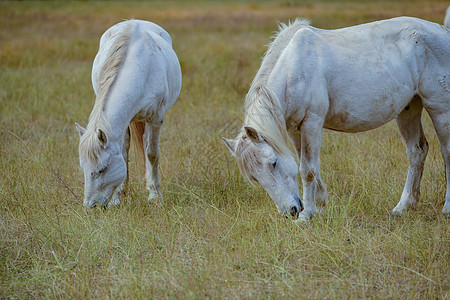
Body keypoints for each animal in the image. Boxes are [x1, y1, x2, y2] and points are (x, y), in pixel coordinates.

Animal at [75, 20, 181, 209]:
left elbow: (152, 153)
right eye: (83, 168)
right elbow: (123, 154)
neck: (140, 69)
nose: (90, 207)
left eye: (102, 169)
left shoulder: (156, 119)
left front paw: (154, 196)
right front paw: (116, 199)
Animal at [224, 17, 450, 221]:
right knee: (416, 152)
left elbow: (307, 170)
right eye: (255, 177)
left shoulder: (312, 123)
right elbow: (310, 166)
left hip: (440, 109)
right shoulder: (295, 130)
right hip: (408, 110)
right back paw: (402, 207)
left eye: (274, 163)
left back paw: (446, 208)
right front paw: (319, 206)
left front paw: (307, 216)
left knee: (446, 152)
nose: (291, 211)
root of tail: (444, 32)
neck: (294, 68)